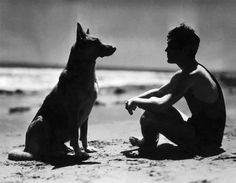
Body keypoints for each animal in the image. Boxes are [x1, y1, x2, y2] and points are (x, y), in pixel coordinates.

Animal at [8, 22, 116, 160]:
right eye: (96, 41)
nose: (114, 47)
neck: (83, 70)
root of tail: (26, 148)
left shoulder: (86, 113)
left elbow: (84, 134)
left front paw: (86, 148)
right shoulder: (74, 111)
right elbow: (75, 135)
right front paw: (79, 153)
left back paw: (64, 149)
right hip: (42, 121)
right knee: (42, 152)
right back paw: (57, 153)